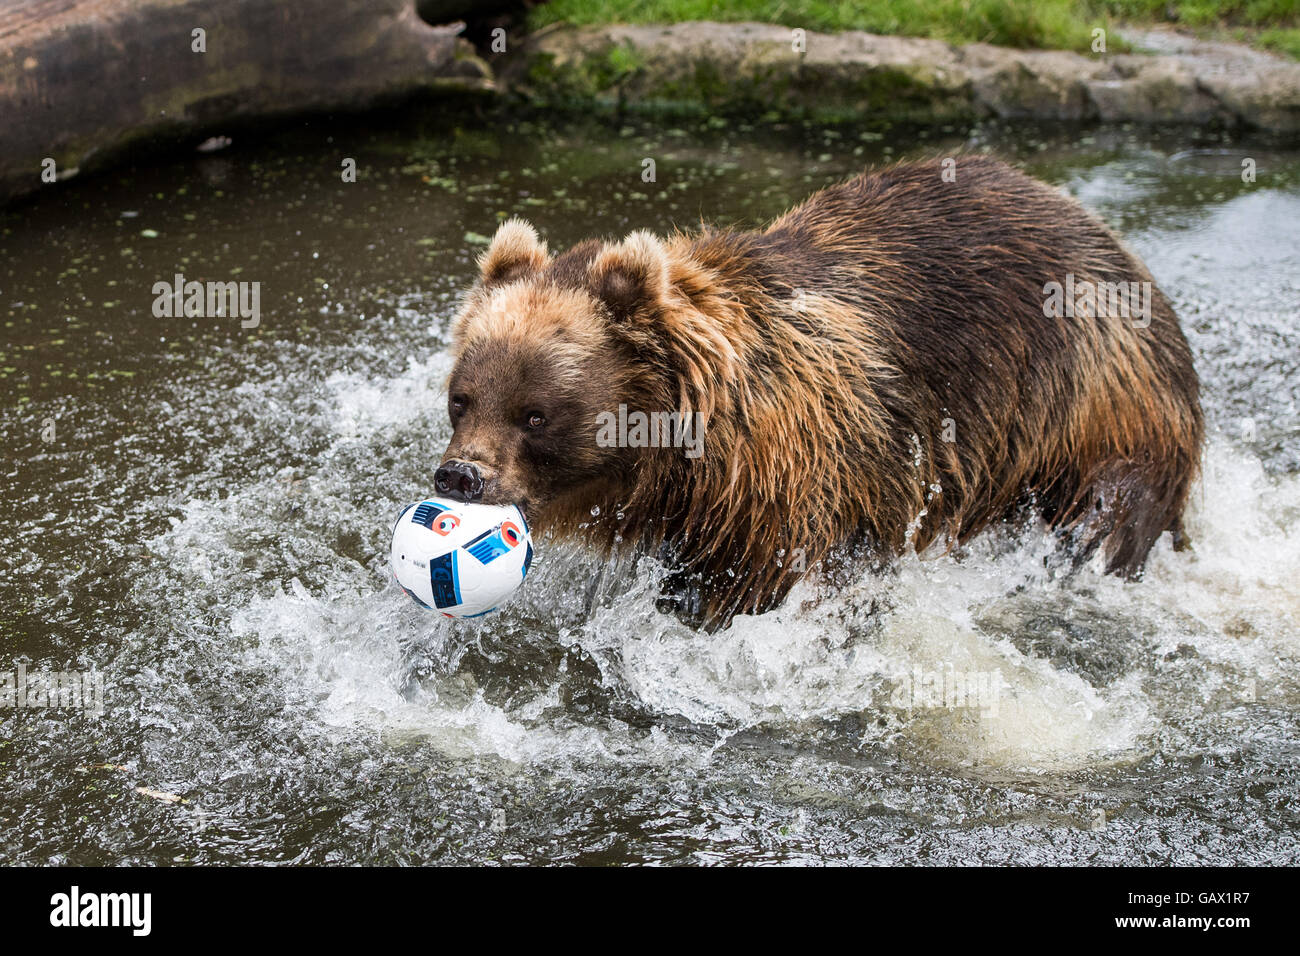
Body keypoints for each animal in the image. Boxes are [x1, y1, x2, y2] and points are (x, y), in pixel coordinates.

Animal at [439, 158, 1206, 629]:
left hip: (1097, 399)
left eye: (535, 412)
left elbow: (763, 584)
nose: (460, 475)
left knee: (1106, 508)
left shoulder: (806, 478)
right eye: (462, 397)